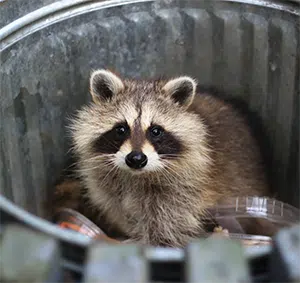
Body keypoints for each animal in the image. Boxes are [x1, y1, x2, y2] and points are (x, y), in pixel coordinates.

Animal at [70, 70, 270, 247]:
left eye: (155, 131)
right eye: (121, 129)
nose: (136, 158)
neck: (136, 176)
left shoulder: (184, 190)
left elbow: (167, 226)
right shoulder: (108, 188)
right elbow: (120, 210)